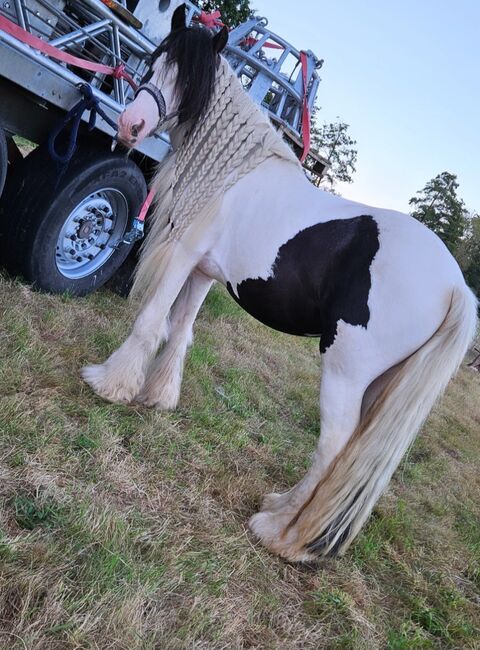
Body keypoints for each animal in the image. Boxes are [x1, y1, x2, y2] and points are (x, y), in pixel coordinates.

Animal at [81, 5, 476, 560]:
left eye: (191, 78)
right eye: (156, 61)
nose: (130, 123)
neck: (234, 173)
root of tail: (456, 286)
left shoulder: (183, 257)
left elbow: (150, 321)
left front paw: (109, 384)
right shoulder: (204, 271)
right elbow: (180, 333)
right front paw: (159, 397)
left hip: (346, 373)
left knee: (334, 444)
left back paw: (279, 534)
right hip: (379, 383)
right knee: (345, 457)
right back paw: (285, 511)